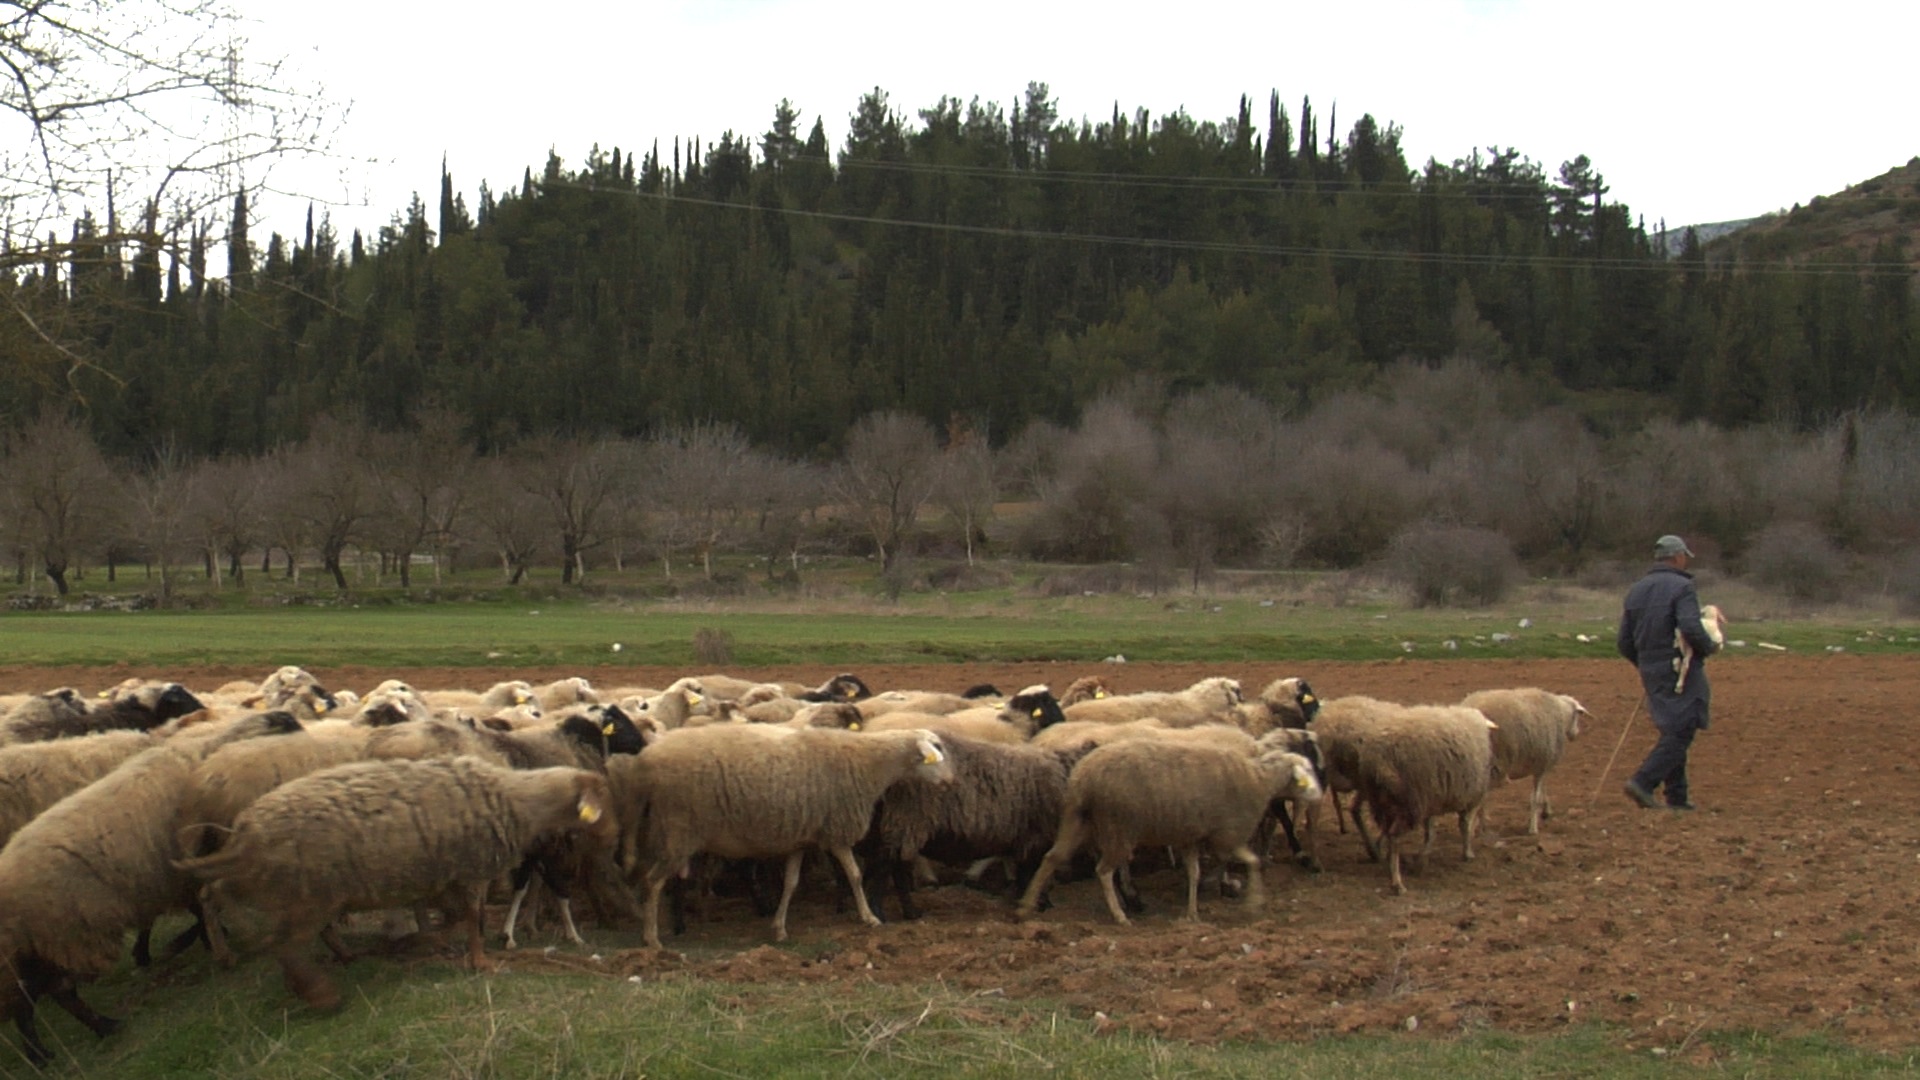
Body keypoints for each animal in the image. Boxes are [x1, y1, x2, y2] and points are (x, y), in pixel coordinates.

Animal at [0, 707, 301, 1060]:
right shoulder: (188, 869)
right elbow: (202, 909)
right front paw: (200, 943)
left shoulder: (170, 878)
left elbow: (191, 912)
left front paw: (180, 946)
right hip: (71, 933)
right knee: (56, 991)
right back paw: (100, 1028)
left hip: (41, 943)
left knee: (28, 996)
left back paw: (43, 1050)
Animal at [174, 749, 606, 1006]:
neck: (516, 798)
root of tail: (246, 830)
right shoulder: (471, 870)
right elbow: (473, 919)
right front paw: (479, 960)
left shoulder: (445, 874)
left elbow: (451, 916)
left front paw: (429, 940)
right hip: (310, 893)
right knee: (283, 942)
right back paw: (319, 992)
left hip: (294, 891)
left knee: (233, 904)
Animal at [614, 722, 952, 941]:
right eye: (935, 750)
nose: (950, 780)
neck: (868, 762)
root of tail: (645, 762)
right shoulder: (836, 830)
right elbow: (854, 875)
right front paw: (869, 918)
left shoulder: (799, 838)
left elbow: (791, 883)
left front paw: (779, 928)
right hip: (678, 830)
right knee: (653, 882)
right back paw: (652, 939)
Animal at [1021, 737, 1320, 926]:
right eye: (1305, 772)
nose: (1318, 795)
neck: (1259, 780)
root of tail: (1084, 778)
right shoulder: (1227, 835)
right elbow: (1252, 861)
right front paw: (1252, 902)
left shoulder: (1191, 837)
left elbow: (1194, 872)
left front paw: (1192, 912)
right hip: (1119, 827)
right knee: (1103, 871)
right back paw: (1120, 915)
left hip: (1078, 820)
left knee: (1052, 857)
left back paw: (1027, 905)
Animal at [1451, 687, 1589, 834]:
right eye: (1577, 714)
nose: (1575, 734)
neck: (1561, 714)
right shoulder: (1543, 763)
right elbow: (1535, 798)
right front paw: (1533, 828)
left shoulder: (1542, 764)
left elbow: (1543, 788)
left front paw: (1546, 811)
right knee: (1479, 800)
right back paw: (1475, 826)